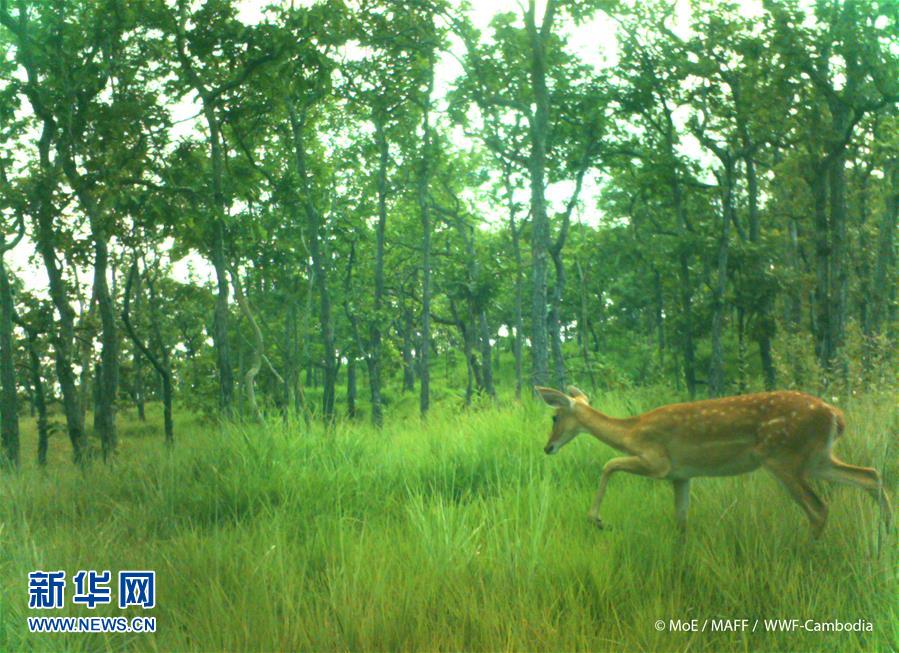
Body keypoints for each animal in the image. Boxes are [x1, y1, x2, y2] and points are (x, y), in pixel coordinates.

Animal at [536, 384, 892, 536]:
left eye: (554, 416)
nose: (547, 448)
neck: (631, 431)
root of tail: (836, 416)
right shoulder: (681, 475)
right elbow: (681, 519)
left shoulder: (658, 462)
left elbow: (608, 464)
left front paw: (596, 520)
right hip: (817, 458)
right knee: (870, 475)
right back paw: (887, 533)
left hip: (783, 457)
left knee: (819, 508)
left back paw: (807, 553)